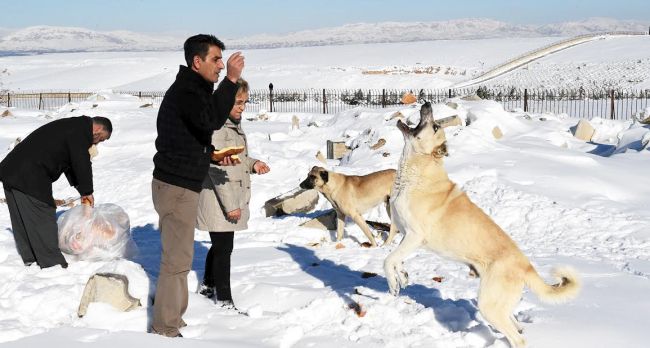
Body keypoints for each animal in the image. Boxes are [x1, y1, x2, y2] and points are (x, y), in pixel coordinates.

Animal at [382, 102, 580, 346]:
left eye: (435, 125)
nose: (427, 103)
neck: (416, 172)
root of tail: (526, 267)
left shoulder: (415, 235)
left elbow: (388, 260)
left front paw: (392, 283)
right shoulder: (405, 236)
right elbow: (397, 259)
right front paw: (402, 277)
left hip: (488, 304)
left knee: (518, 339)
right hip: (498, 304)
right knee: (515, 323)